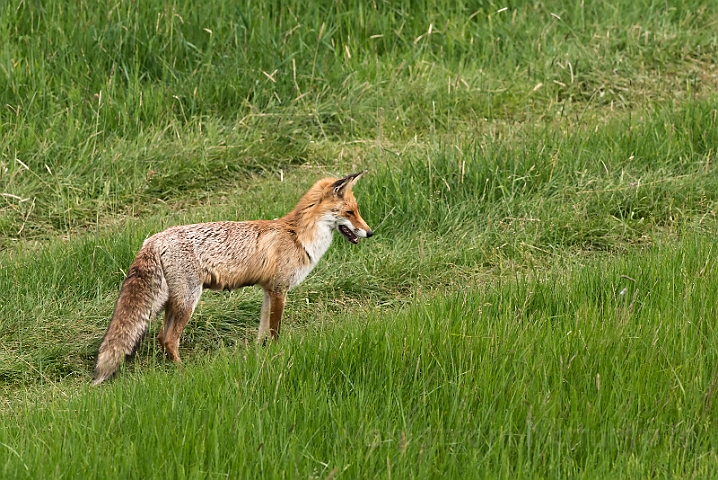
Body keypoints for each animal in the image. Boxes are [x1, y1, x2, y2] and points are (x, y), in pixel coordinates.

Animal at [94, 172, 376, 382]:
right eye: (350, 213)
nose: (370, 233)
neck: (297, 236)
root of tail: (154, 238)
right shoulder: (279, 289)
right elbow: (275, 331)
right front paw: (277, 354)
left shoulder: (267, 291)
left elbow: (262, 332)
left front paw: (262, 355)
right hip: (188, 301)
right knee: (170, 340)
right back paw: (183, 372)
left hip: (173, 302)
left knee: (162, 338)